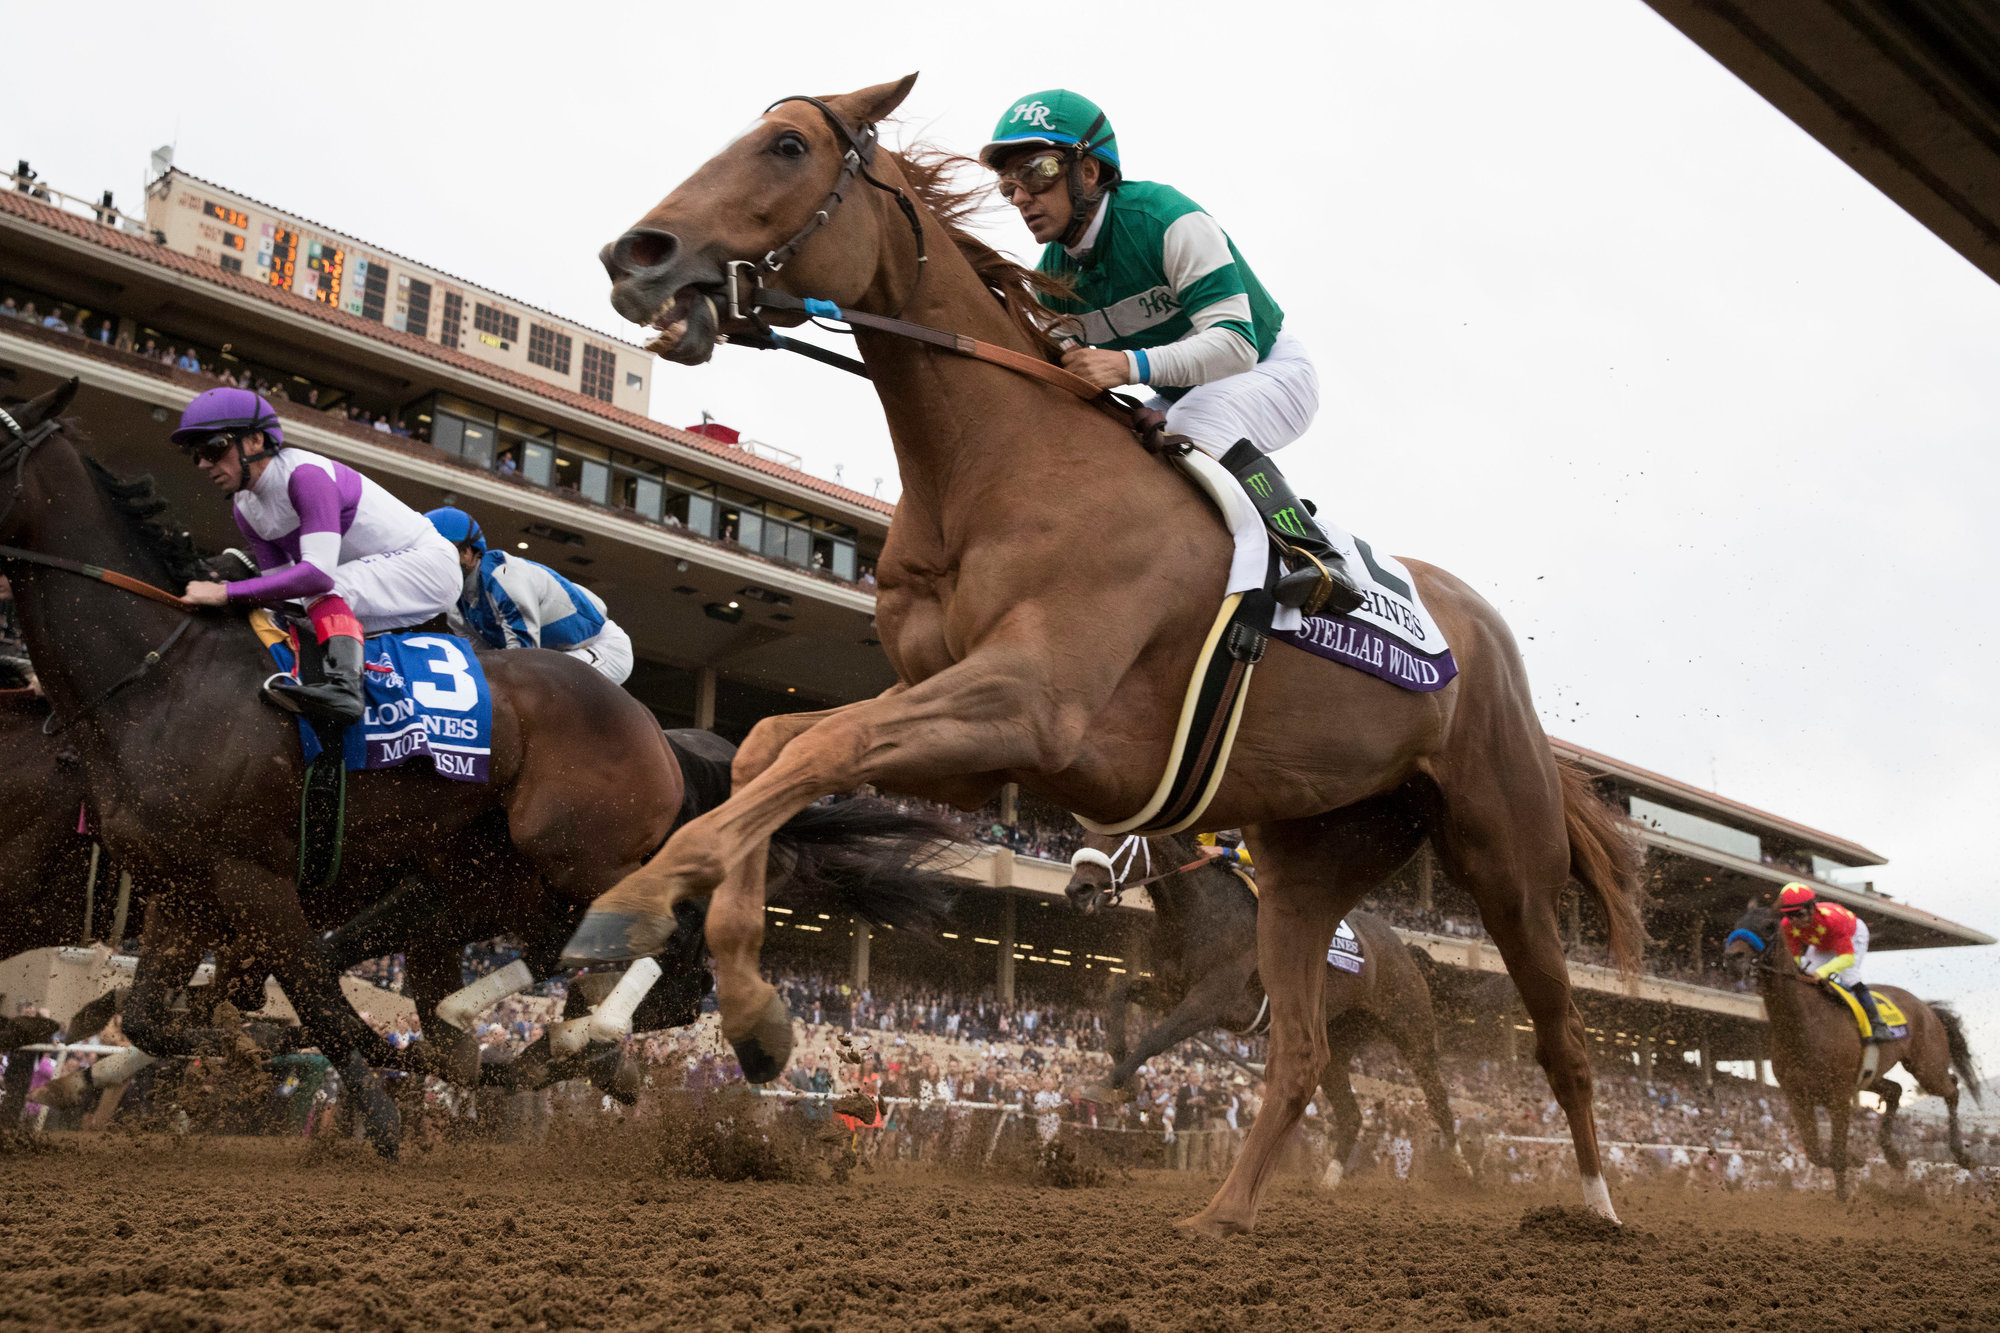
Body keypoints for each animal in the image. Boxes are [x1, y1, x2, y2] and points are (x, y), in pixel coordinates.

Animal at [0, 378, 952, 1144]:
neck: (156, 676)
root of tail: (661, 731)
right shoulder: (188, 886)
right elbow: (161, 1013)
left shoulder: (253, 877)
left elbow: (315, 1002)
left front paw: (377, 1110)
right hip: (500, 874)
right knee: (606, 962)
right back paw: (530, 1038)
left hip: (566, 847)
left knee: (666, 941)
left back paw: (581, 1037)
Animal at [1064, 832, 1472, 1184]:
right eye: (1085, 835)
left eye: (1119, 837)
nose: (1077, 891)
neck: (1198, 910)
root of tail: (1405, 947)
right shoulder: (1169, 991)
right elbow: (1118, 993)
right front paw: (1123, 1078)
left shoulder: (1209, 1000)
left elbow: (1155, 1039)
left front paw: (1106, 1084)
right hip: (1335, 1045)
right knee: (1353, 1116)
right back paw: (1329, 1179)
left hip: (1411, 1029)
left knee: (1438, 1100)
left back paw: (1462, 1169)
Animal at [1720, 904, 1984, 1192]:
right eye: (1737, 923)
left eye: (1768, 926)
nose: (1732, 958)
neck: (1805, 1022)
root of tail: (1926, 1007)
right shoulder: (1797, 1097)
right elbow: (1817, 1154)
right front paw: (1856, 1159)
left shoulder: (1838, 1097)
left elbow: (1835, 1155)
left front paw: (1845, 1192)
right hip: (1871, 1076)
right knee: (1895, 1090)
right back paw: (1894, 1156)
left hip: (1926, 1066)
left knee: (1952, 1087)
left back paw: (1961, 1154)